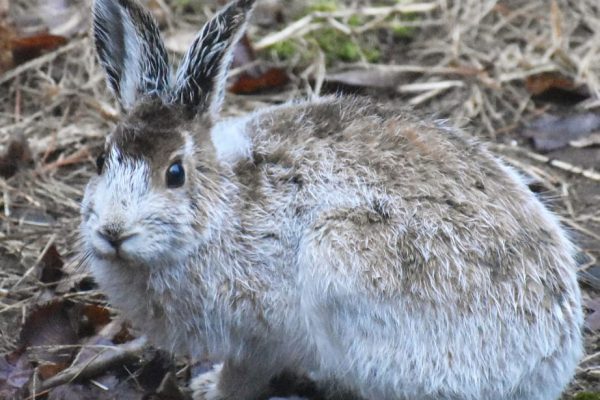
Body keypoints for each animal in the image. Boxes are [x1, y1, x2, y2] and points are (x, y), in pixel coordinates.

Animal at [80, 0, 583, 399]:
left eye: (175, 173)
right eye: (101, 160)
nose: (113, 231)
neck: (221, 209)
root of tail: (548, 358)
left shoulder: (260, 335)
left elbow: (244, 375)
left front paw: (210, 391)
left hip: (344, 259)